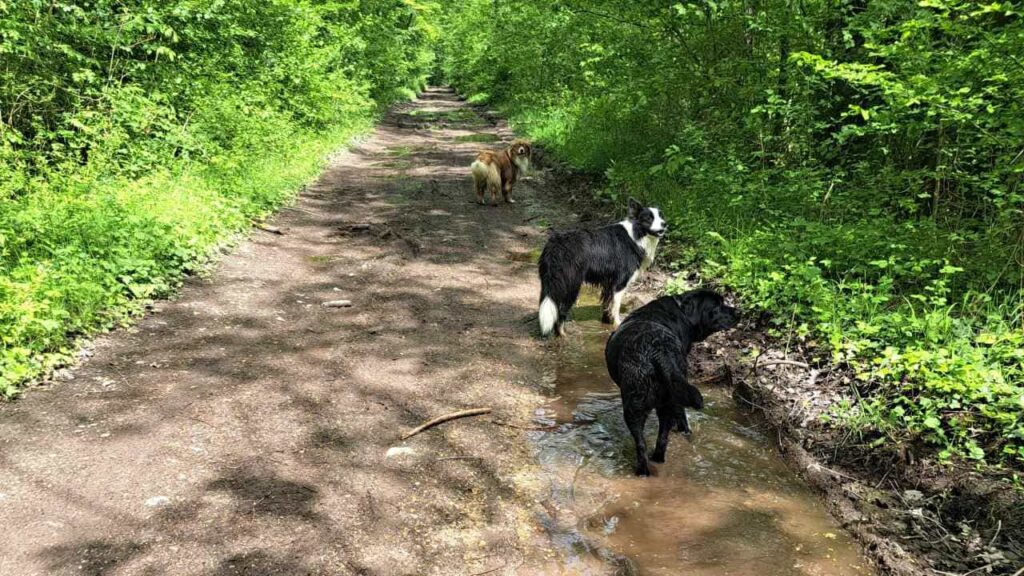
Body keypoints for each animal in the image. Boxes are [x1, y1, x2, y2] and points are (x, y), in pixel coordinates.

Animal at [540, 198, 667, 336]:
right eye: (649, 218)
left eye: (660, 216)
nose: (665, 224)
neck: (636, 234)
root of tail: (555, 245)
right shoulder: (620, 282)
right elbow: (615, 307)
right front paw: (617, 324)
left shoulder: (609, 283)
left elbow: (607, 304)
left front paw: (606, 321)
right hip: (570, 284)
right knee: (561, 310)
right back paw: (563, 334)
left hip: (549, 282)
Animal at [602, 289, 741, 473]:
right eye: (717, 305)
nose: (739, 312)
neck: (681, 310)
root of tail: (659, 350)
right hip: (668, 399)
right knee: (662, 439)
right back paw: (657, 459)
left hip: (635, 406)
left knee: (641, 443)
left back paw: (643, 471)